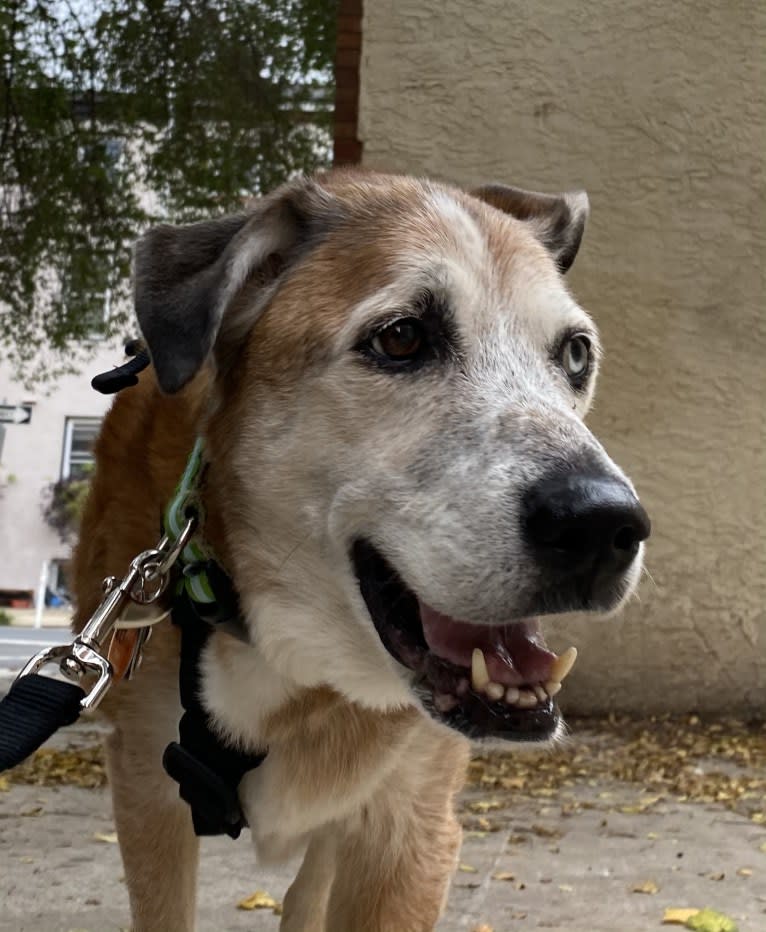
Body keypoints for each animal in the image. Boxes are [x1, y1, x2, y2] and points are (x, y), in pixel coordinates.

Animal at [72, 169, 652, 932]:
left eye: (576, 354)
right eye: (402, 338)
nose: (602, 525)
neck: (295, 658)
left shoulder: (411, 827)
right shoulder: (146, 792)